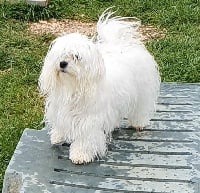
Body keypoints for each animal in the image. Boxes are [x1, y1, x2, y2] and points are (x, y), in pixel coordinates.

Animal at [38, 10, 161, 164]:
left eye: (76, 57)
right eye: (60, 55)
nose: (62, 63)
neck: (73, 87)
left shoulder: (89, 120)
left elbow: (85, 138)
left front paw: (80, 154)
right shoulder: (60, 109)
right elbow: (60, 123)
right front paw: (58, 136)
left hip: (142, 92)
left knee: (140, 108)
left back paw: (138, 123)